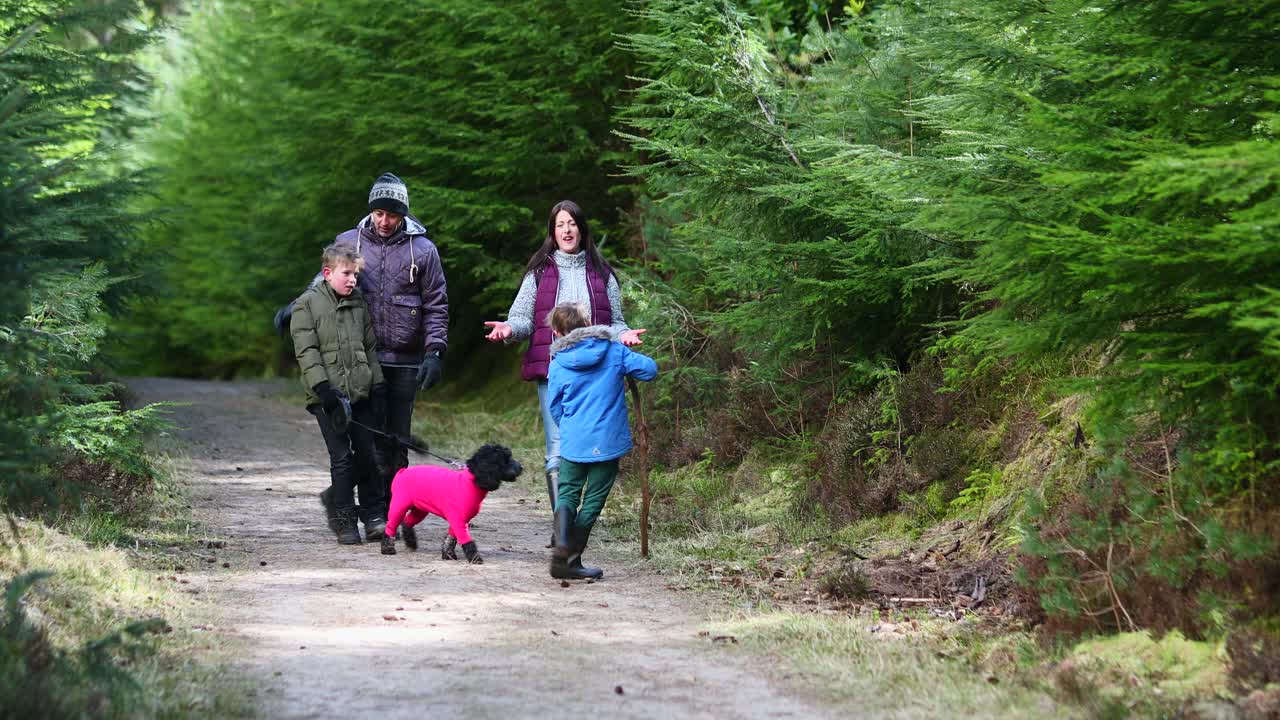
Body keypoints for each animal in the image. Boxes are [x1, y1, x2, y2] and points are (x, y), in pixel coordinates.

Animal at [378, 443, 519, 561]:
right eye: (505, 460)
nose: (521, 467)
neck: (471, 481)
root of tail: (401, 472)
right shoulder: (459, 520)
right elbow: (465, 540)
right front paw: (475, 558)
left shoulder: (459, 520)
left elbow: (451, 538)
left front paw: (448, 555)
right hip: (399, 506)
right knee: (390, 526)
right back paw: (387, 548)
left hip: (420, 509)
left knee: (407, 522)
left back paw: (411, 543)